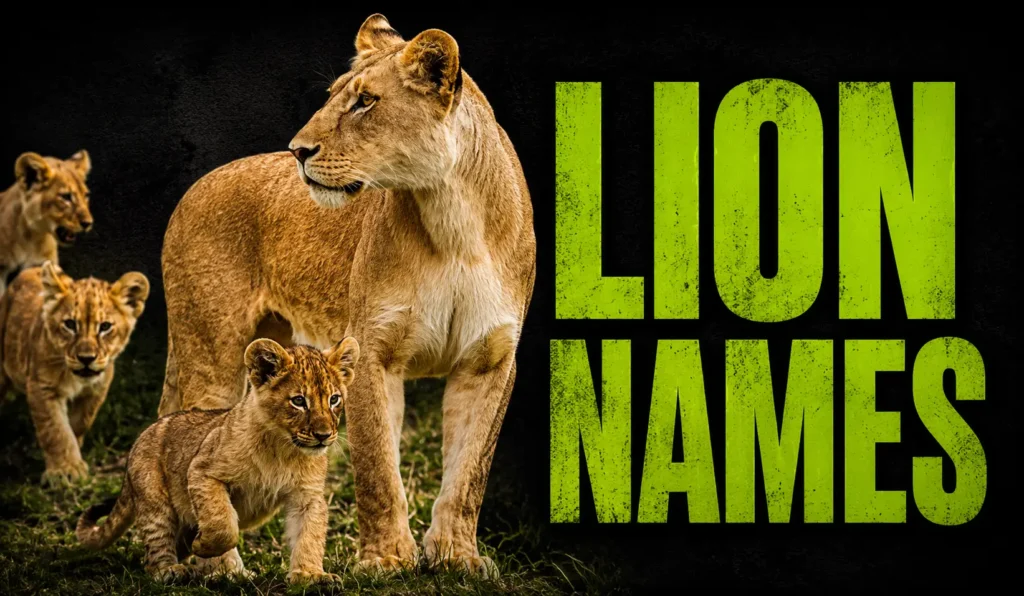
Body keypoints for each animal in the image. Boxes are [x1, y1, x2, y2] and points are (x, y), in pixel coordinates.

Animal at [0, 261, 149, 484]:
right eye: (70, 324)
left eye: (105, 327)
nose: (86, 358)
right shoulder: (41, 388)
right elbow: (55, 430)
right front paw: (65, 471)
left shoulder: (98, 388)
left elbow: (80, 422)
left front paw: (74, 453)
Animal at [76, 337, 359, 585]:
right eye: (299, 401)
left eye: (334, 399)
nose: (324, 436)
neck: (284, 449)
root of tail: (142, 436)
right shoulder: (202, 471)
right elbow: (223, 524)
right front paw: (203, 546)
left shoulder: (307, 496)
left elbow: (309, 535)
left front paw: (310, 576)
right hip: (154, 498)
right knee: (155, 550)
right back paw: (178, 571)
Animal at [158, 14, 535, 577]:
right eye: (335, 95)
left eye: (366, 102)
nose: (297, 150)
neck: (453, 219)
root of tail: (195, 186)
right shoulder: (373, 350)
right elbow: (378, 467)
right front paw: (387, 560)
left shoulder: (489, 359)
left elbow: (470, 472)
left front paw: (457, 557)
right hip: (211, 353)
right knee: (196, 445)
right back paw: (224, 570)